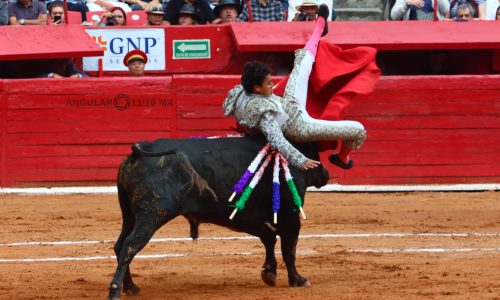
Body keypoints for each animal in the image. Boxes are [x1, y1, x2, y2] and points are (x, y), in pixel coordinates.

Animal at [108, 136, 328, 300]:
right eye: (315, 155)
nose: (326, 174)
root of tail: (141, 149)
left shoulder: (260, 220)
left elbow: (270, 241)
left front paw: (269, 273)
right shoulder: (291, 218)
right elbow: (289, 250)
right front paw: (298, 280)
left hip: (130, 215)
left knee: (120, 245)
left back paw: (131, 287)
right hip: (152, 214)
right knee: (130, 246)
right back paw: (115, 291)